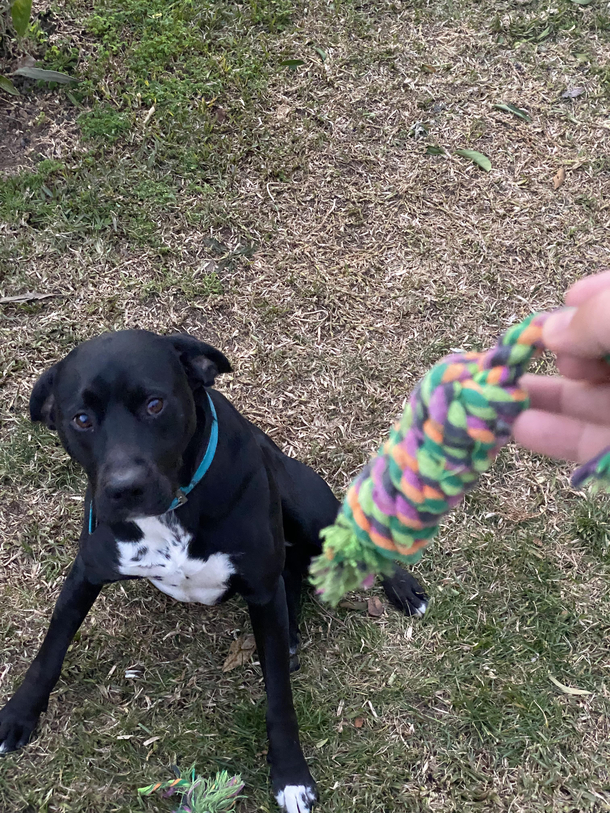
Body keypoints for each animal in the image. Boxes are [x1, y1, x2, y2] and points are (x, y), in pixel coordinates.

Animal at [0, 332, 426, 812]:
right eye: (82, 419)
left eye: (155, 404)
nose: (125, 488)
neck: (172, 512)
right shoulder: (86, 573)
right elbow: (49, 651)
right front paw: (17, 715)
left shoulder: (260, 590)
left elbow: (279, 698)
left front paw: (291, 775)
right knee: (291, 578)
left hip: (307, 507)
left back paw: (402, 588)